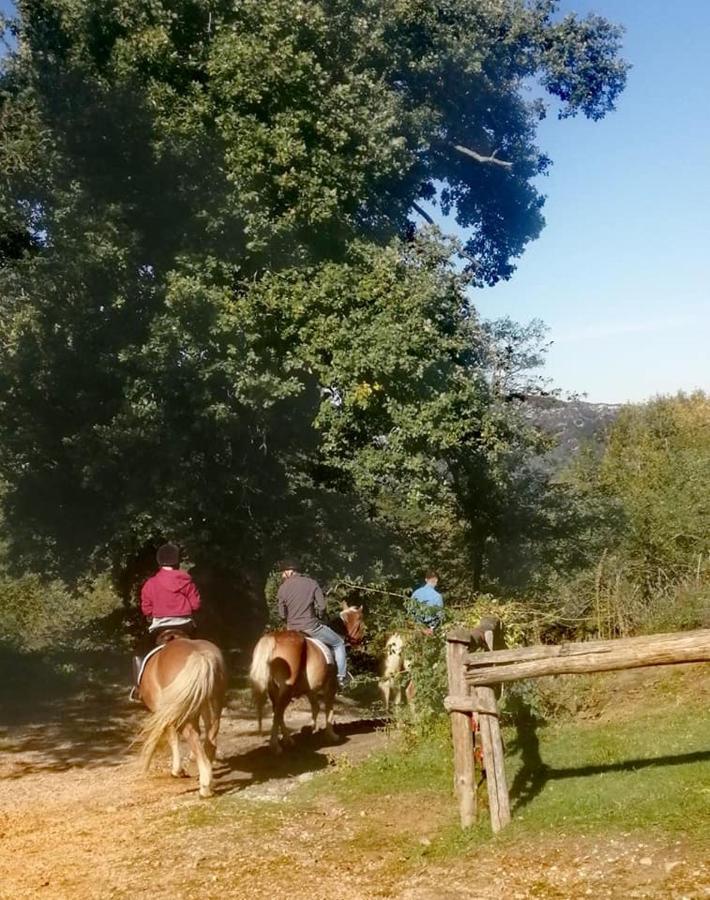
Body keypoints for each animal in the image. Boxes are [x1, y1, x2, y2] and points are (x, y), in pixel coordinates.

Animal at [138, 628, 227, 800]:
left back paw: (204, 787)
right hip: (213, 704)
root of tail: (201, 657)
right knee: (210, 738)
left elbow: (172, 738)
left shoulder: (166, 713)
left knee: (193, 737)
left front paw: (177, 771)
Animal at [250, 604, 368, 752]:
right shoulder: (331, 686)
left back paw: (288, 740)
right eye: (362, 624)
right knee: (278, 713)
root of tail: (274, 637)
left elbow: (316, 707)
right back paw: (276, 746)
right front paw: (331, 734)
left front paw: (310, 728)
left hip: (274, 689)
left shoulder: (311, 688)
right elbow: (329, 709)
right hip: (286, 690)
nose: (362, 644)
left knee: (278, 712)